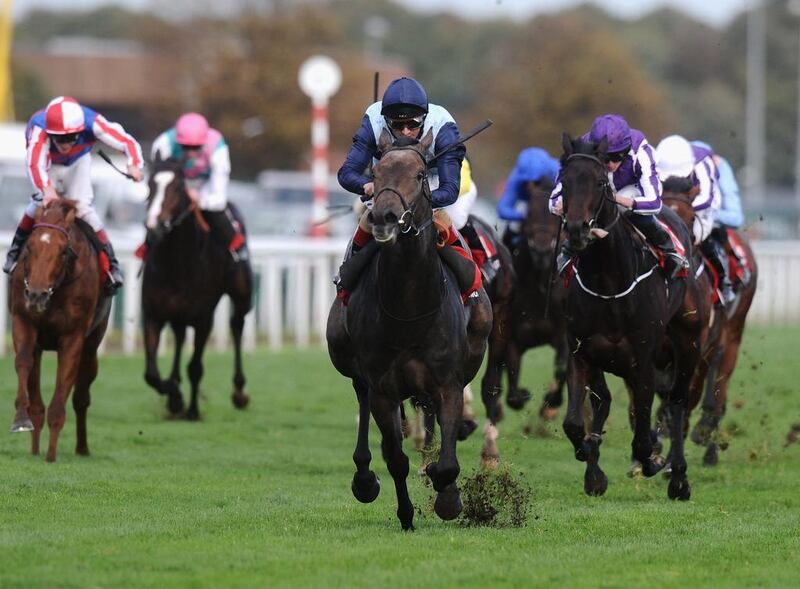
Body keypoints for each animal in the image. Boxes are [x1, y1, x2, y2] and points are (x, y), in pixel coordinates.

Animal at [7, 200, 111, 462]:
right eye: (29, 246)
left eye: (64, 251)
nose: (36, 294)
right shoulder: (24, 322)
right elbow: (23, 362)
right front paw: (21, 420)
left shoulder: (73, 338)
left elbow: (63, 386)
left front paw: (51, 454)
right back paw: (35, 448)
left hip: (92, 346)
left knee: (81, 397)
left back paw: (82, 448)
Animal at [142, 157, 252, 418]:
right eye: (150, 184)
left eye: (177, 187)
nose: (154, 226)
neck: (177, 264)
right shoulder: (153, 314)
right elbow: (151, 374)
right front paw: (174, 395)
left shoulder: (204, 319)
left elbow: (195, 367)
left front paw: (191, 410)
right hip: (178, 314)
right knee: (180, 336)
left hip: (242, 295)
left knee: (236, 325)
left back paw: (239, 391)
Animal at [326, 131, 494, 532]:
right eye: (375, 172)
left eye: (420, 174)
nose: (383, 216)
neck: (409, 310)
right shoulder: (383, 388)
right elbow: (395, 458)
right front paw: (405, 515)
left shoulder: (448, 383)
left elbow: (447, 462)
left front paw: (448, 497)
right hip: (351, 363)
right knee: (363, 401)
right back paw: (364, 478)